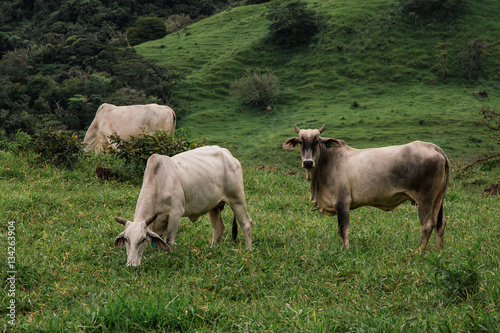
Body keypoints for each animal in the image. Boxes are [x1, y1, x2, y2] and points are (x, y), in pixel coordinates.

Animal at [114, 147, 254, 266]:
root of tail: (227, 153)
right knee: (218, 228)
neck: (158, 183)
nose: (131, 265)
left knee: (246, 223)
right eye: (126, 239)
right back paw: (213, 249)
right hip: (214, 206)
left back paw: (248, 250)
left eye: (142, 240)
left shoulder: (175, 214)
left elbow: (169, 241)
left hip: (237, 199)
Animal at [284, 124, 452, 249]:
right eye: (300, 142)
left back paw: (419, 252)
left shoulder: (342, 202)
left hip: (425, 199)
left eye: (317, 141)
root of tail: (432, 147)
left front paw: (346, 250)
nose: (307, 162)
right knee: (440, 223)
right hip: (438, 199)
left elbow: (343, 229)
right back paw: (439, 251)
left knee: (427, 225)